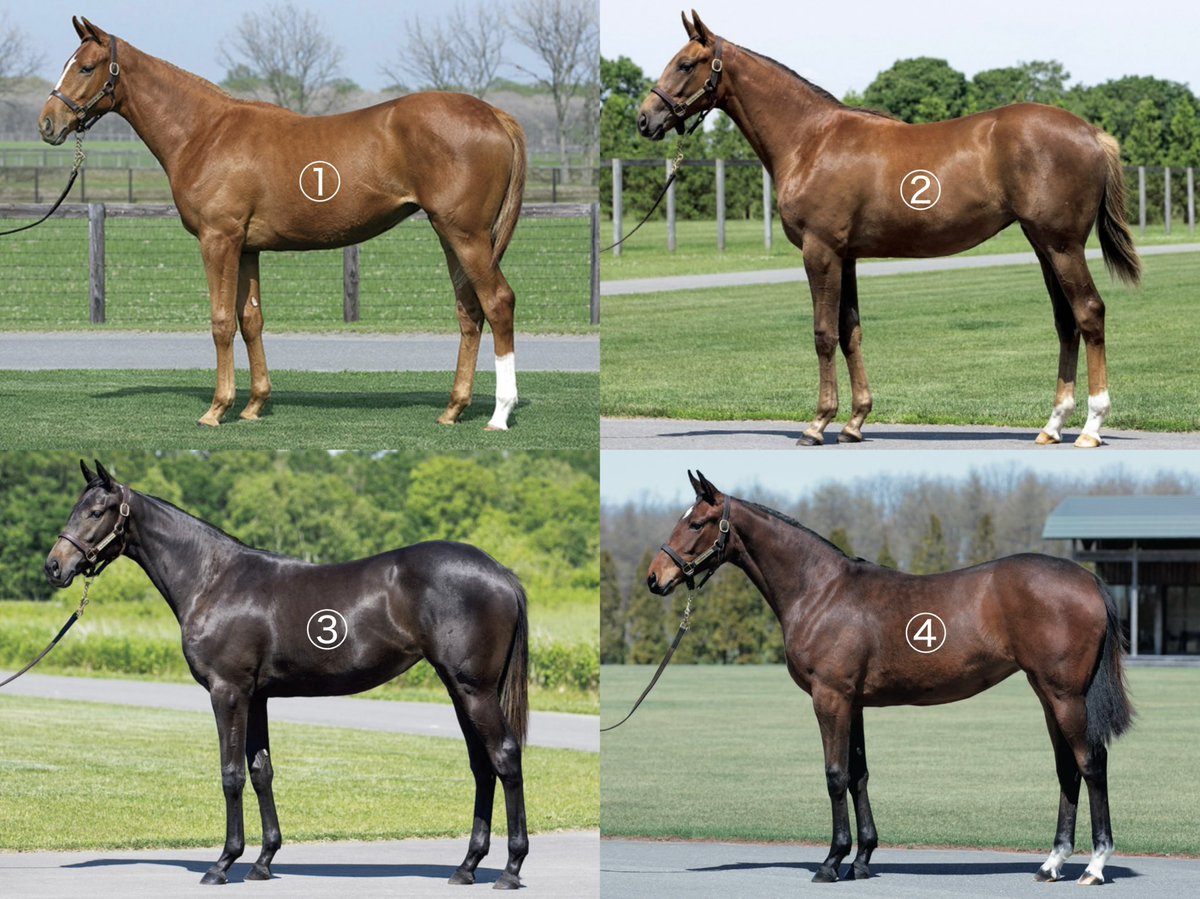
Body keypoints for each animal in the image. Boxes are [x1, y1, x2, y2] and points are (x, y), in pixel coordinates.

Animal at [40, 17, 526, 431]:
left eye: (85, 67)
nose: (48, 123)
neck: (206, 133)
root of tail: (494, 115)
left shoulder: (219, 240)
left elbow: (222, 321)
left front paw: (217, 409)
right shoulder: (247, 248)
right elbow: (251, 319)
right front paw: (254, 404)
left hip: (466, 236)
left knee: (498, 302)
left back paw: (500, 413)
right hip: (450, 236)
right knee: (469, 312)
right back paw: (453, 409)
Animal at [44, 460, 529, 889]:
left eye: (95, 512)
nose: (54, 566)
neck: (213, 579)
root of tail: (500, 572)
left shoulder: (228, 692)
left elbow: (231, 775)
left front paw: (223, 863)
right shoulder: (256, 696)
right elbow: (261, 771)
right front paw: (262, 862)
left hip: (475, 690)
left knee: (505, 757)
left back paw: (509, 869)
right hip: (459, 690)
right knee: (482, 766)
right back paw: (466, 867)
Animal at [637, 11, 1141, 448]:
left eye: (685, 64)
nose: (645, 119)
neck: (810, 139)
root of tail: (1092, 133)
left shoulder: (819, 252)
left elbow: (823, 334)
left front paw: (817, 424)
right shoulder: (846, 257)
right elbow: (851, 332)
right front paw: (855, 422)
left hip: (1062, 246)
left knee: (1089, 313)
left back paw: (1091, 427)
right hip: (1043, 246)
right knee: (1066, 322)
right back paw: (1052, 426)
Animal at [646, 470, 1133, 885]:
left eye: (697, 523)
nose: (655, 578)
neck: (820, 591)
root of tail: (1088, 579)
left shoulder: (830, 698)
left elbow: (835, 775)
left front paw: (831, 862)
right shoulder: (854, 702)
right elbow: (859, 774)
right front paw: (861, 860)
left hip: (1066, 695)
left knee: (1091, 764)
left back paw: (1095, 866)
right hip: (1048, 695)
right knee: (1067, 770)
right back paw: (1052, 864)